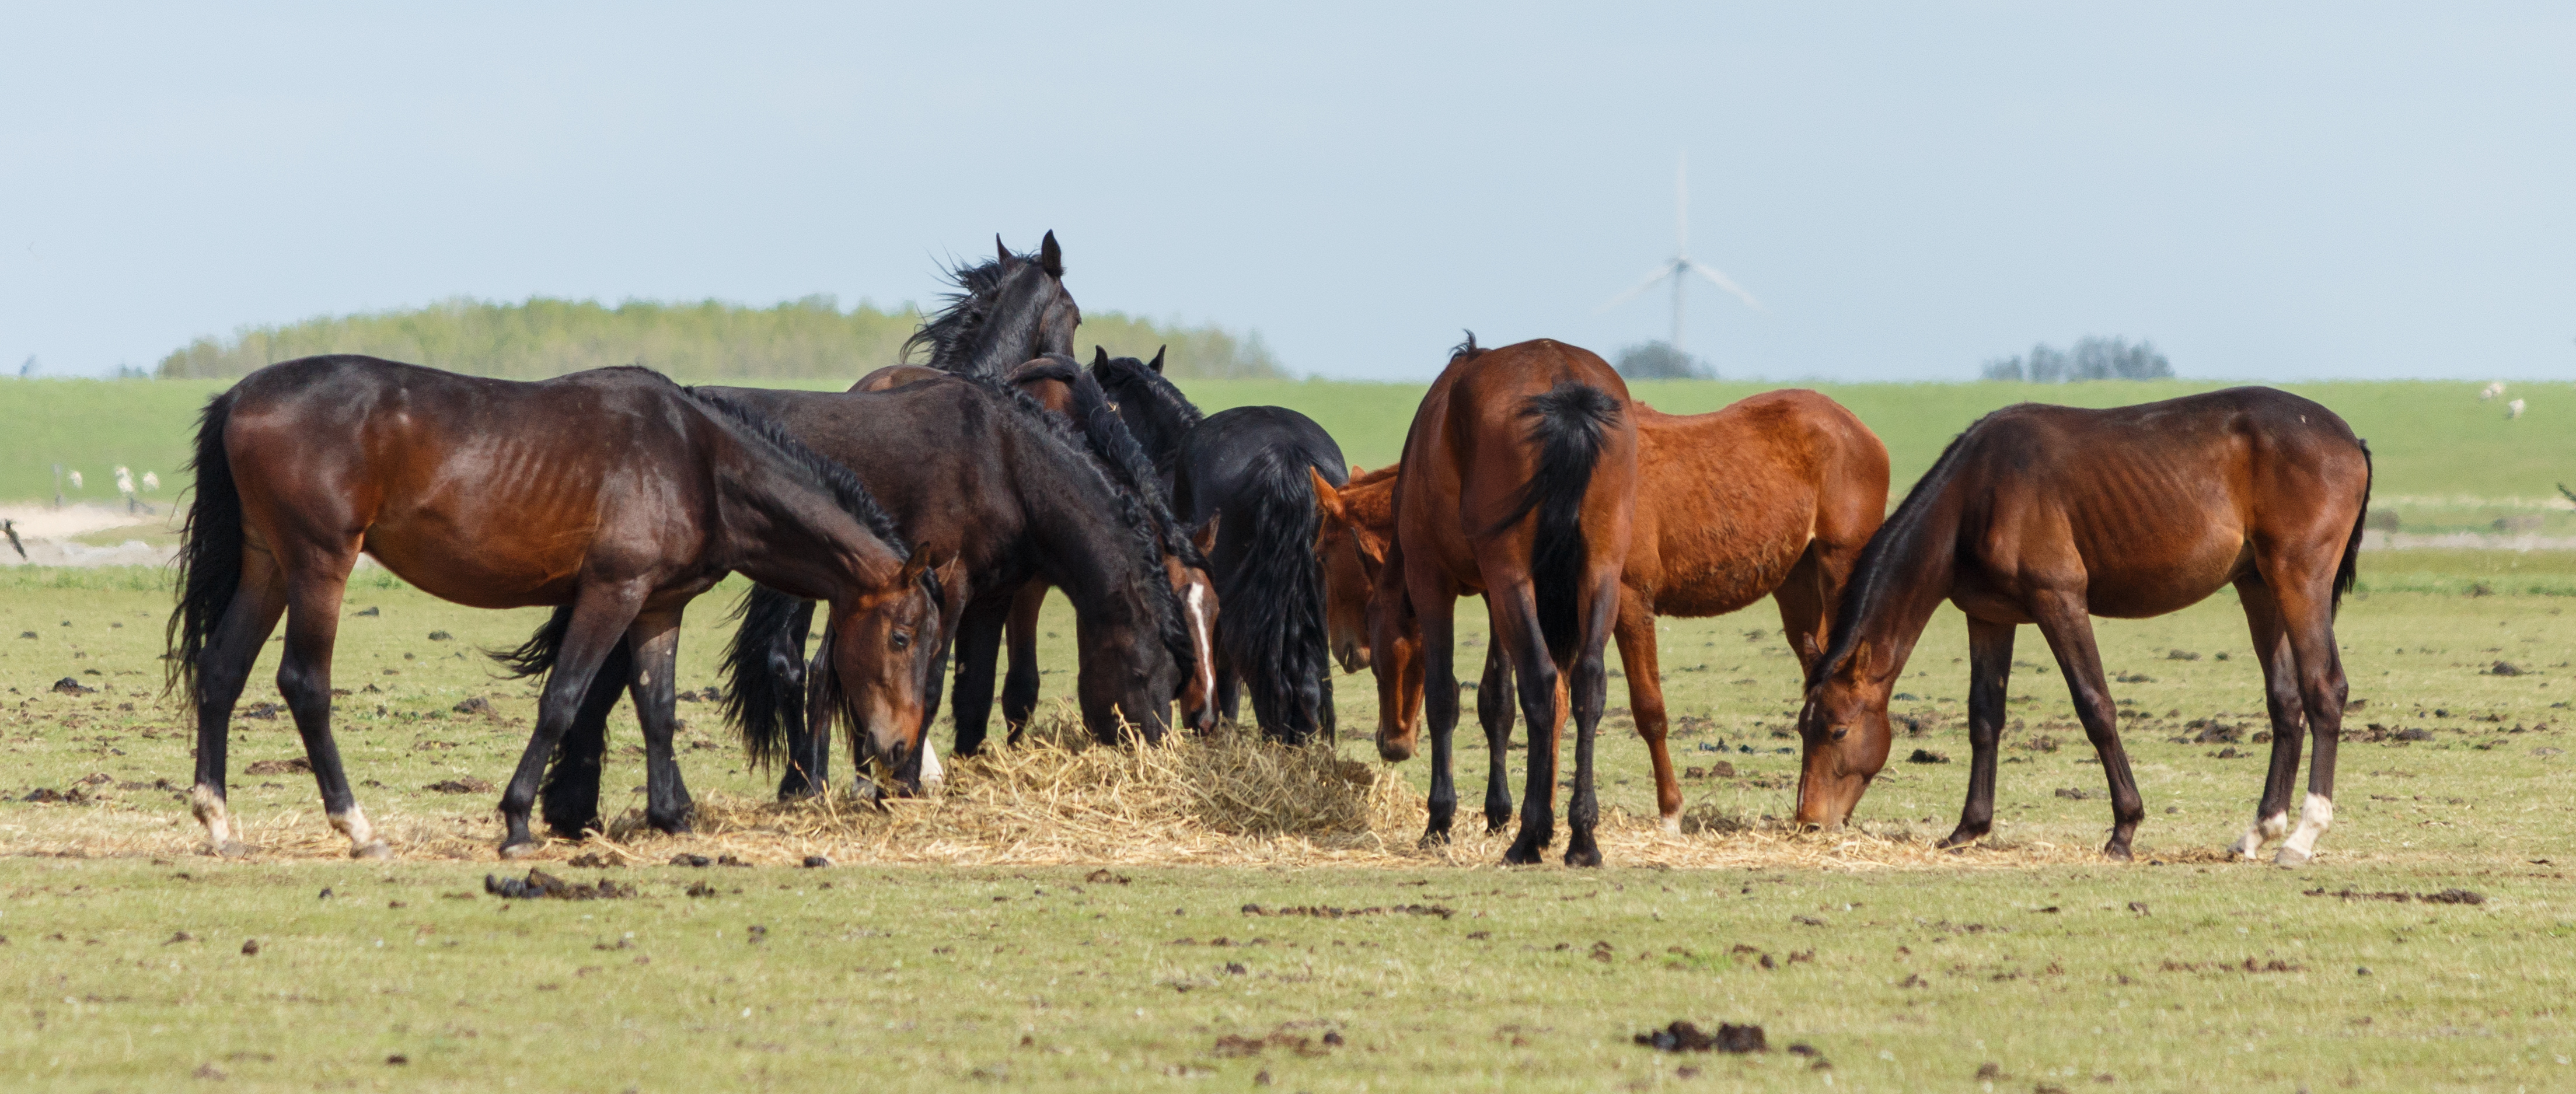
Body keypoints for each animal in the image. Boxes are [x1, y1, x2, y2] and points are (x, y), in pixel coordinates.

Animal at [166, 357, 946, 858]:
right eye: (903, 637)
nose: (899, 751)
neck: (697, 460)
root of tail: (241, 396)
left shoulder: (659, 607)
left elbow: (658, 710)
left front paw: (672, 818)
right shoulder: (611, 593)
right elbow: (562, 701)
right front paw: (517, 822)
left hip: (267, 565)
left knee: (220, 671)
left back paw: (219, 824)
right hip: (318, 564)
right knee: (304, 685)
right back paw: (357, 828)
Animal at [1313, 389, 1890, 829]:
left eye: (1319, 553)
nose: (1390, 743)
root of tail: (1862, 432)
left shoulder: (1628, 602)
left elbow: (1648, 710)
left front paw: (1670, 813)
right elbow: (1551, 702)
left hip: (1840, 568)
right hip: (1797, 586)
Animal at [1365, 336, 1637, 865]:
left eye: (1376, 659)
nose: (1390, 743)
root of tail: (1564, 384)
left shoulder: (1433, 582)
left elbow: (1445, 696)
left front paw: (1440, 819)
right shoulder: (1496, 596)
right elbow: (1497, 701)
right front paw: (1496, 813)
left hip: (1511, 576)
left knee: (1541, 679)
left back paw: (1531, 837)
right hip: (1596, 572)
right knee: (1588, 685)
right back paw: (1581, 836)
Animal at [1793, 387, 2371, 864]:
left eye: (1839, 729)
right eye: (1803, 727)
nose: (1809, 822)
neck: (1977, 492)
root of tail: (2349, 438)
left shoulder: (2060, 601)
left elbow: (2096, 707)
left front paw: (2125, 830)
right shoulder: (1989, 617)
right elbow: (1984, 716)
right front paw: (1968, 828)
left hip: (2299, 581)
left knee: (2324, 689)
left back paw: (2302, 837)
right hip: (2259, 588)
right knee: (2286, 701)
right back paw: (2259, 831)